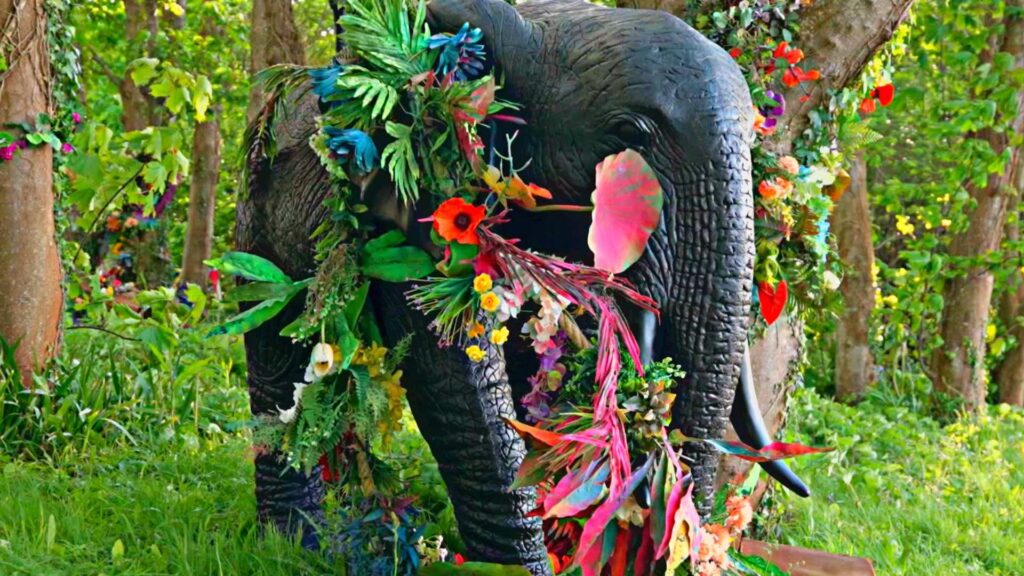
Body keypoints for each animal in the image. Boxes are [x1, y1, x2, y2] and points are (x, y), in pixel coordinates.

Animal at [236, 0, 808, 573]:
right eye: (631, 134)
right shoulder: (415, 198)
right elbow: (452, 376)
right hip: (257, 217)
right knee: (276, 359)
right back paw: (295, 543)